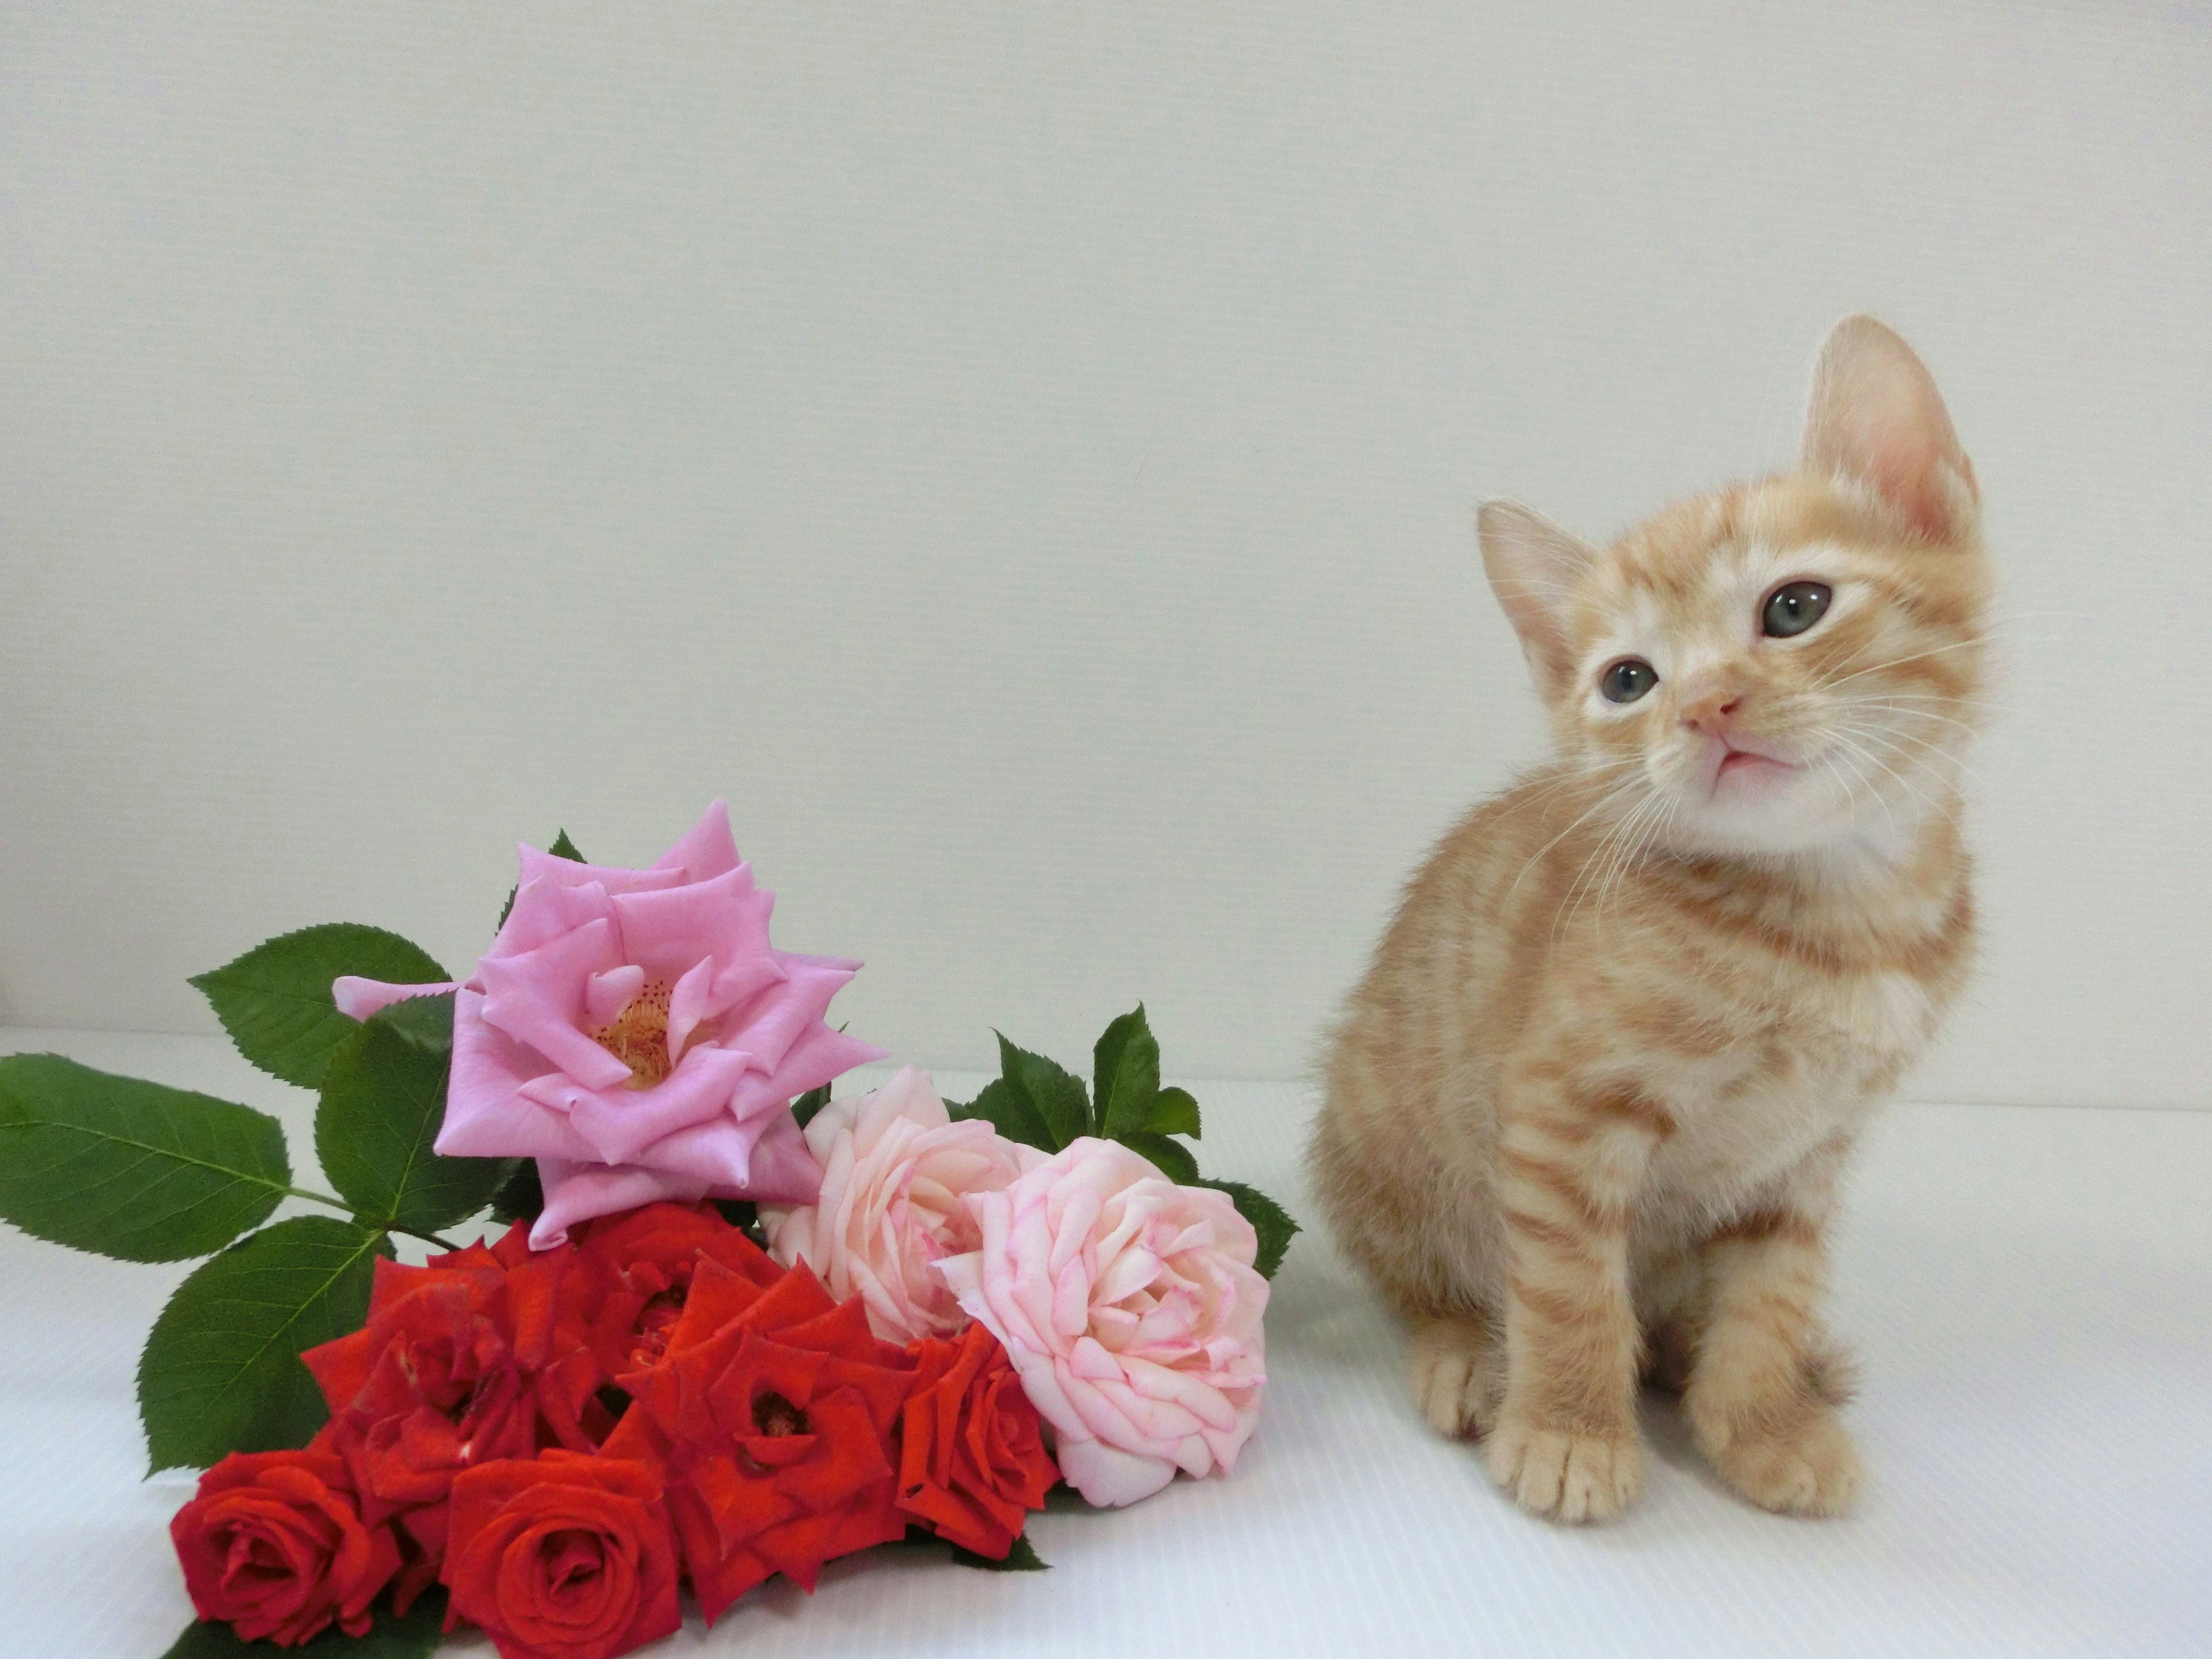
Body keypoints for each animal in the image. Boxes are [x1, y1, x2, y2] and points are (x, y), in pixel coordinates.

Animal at [1309, 318, 1991, 1531]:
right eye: (1629, 680)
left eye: (1795, 608)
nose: (1706, 706)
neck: (1832, 920)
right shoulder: (1561, 1113)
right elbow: (1570, 1287)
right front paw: (1570, 1430)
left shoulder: (1807, 1154)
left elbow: (1770, 1293)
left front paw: (1760, 1420)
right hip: (1381, 1146)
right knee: (1427, 1284)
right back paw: (1469, 1358)